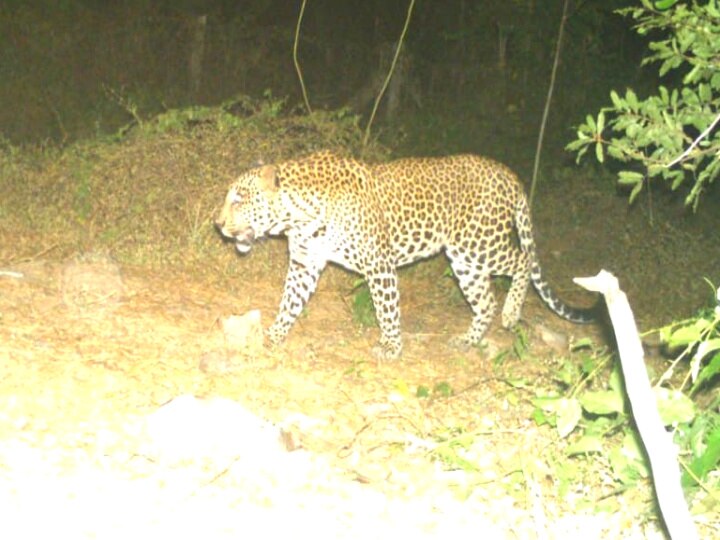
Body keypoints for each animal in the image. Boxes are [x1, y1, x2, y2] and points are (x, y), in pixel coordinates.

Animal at [215, 150, 596, 360]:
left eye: (239, 199)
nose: (217, 223)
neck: (298, 215)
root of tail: (507, 173)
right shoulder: (304, 264)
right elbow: (289, 302)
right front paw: (273, 335)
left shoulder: (378, 265)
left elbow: (386, 310)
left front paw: (391, 347)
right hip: (464, 259)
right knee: (485, 299)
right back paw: (468, 340)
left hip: (480, 243)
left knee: (523, 260)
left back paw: (512, 312)